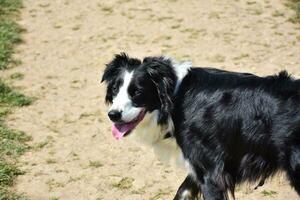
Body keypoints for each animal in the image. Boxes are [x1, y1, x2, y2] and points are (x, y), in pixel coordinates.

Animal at [101, 53, 300, 200]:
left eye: (137, 92)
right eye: (115, 90)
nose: (113, 115)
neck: (175, 96)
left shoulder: (211, 173)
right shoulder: (201, 166)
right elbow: (182, 192)